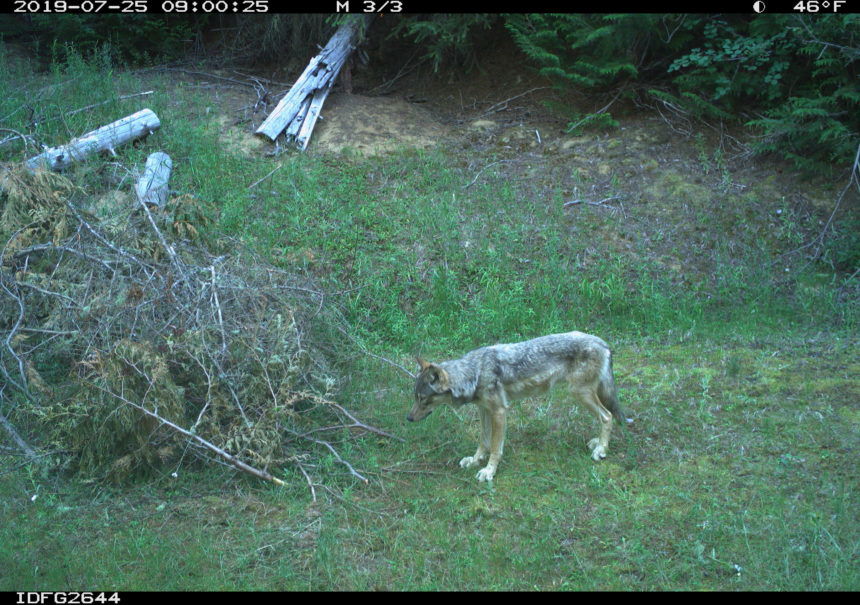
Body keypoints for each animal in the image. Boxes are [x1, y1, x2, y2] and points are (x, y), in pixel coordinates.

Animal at [410, 330, 624, 482]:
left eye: (423, 398)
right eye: (416, 397)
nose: (408, 418)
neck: (475, 372)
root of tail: (603, 342)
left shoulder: (499, 412)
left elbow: (495, 448)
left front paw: (489, 471)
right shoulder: (484, 410)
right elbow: (483, 442)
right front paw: (475, 460)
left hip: (579, 393)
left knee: (607, 416)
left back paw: (601, 450)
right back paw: (597, 442)